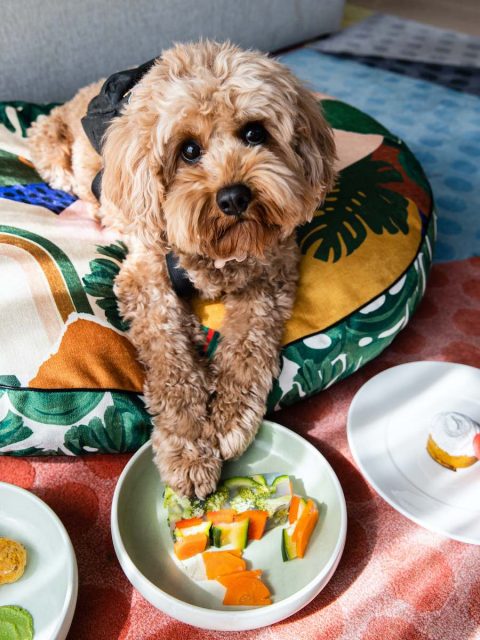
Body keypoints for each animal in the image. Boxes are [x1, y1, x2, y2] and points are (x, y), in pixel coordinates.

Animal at [26, 41, 334, 500]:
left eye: (254, 133)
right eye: (188, 150)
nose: (233, 197)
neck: (218, 253)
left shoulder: (270, 274)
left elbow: (248, 347)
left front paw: (228, 418)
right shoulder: (146, 281)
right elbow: (172, 366)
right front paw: (188, 451)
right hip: (51, 149)